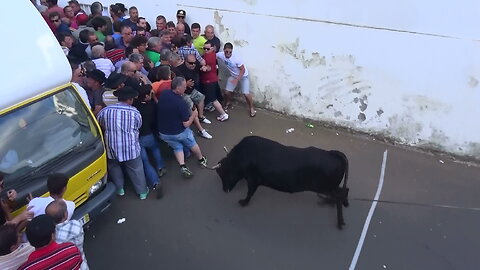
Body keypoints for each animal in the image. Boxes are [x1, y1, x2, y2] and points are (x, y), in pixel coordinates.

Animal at [214, 136, 348, 229]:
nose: (224, 190)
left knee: (339, 195)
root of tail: (332, 153)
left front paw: (244, 202)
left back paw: (340, 221)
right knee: (344, 191)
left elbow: (250, 192)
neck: (240, 156)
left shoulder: (253, 179)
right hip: (329, 187)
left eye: (224, 174)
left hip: (325, 187)